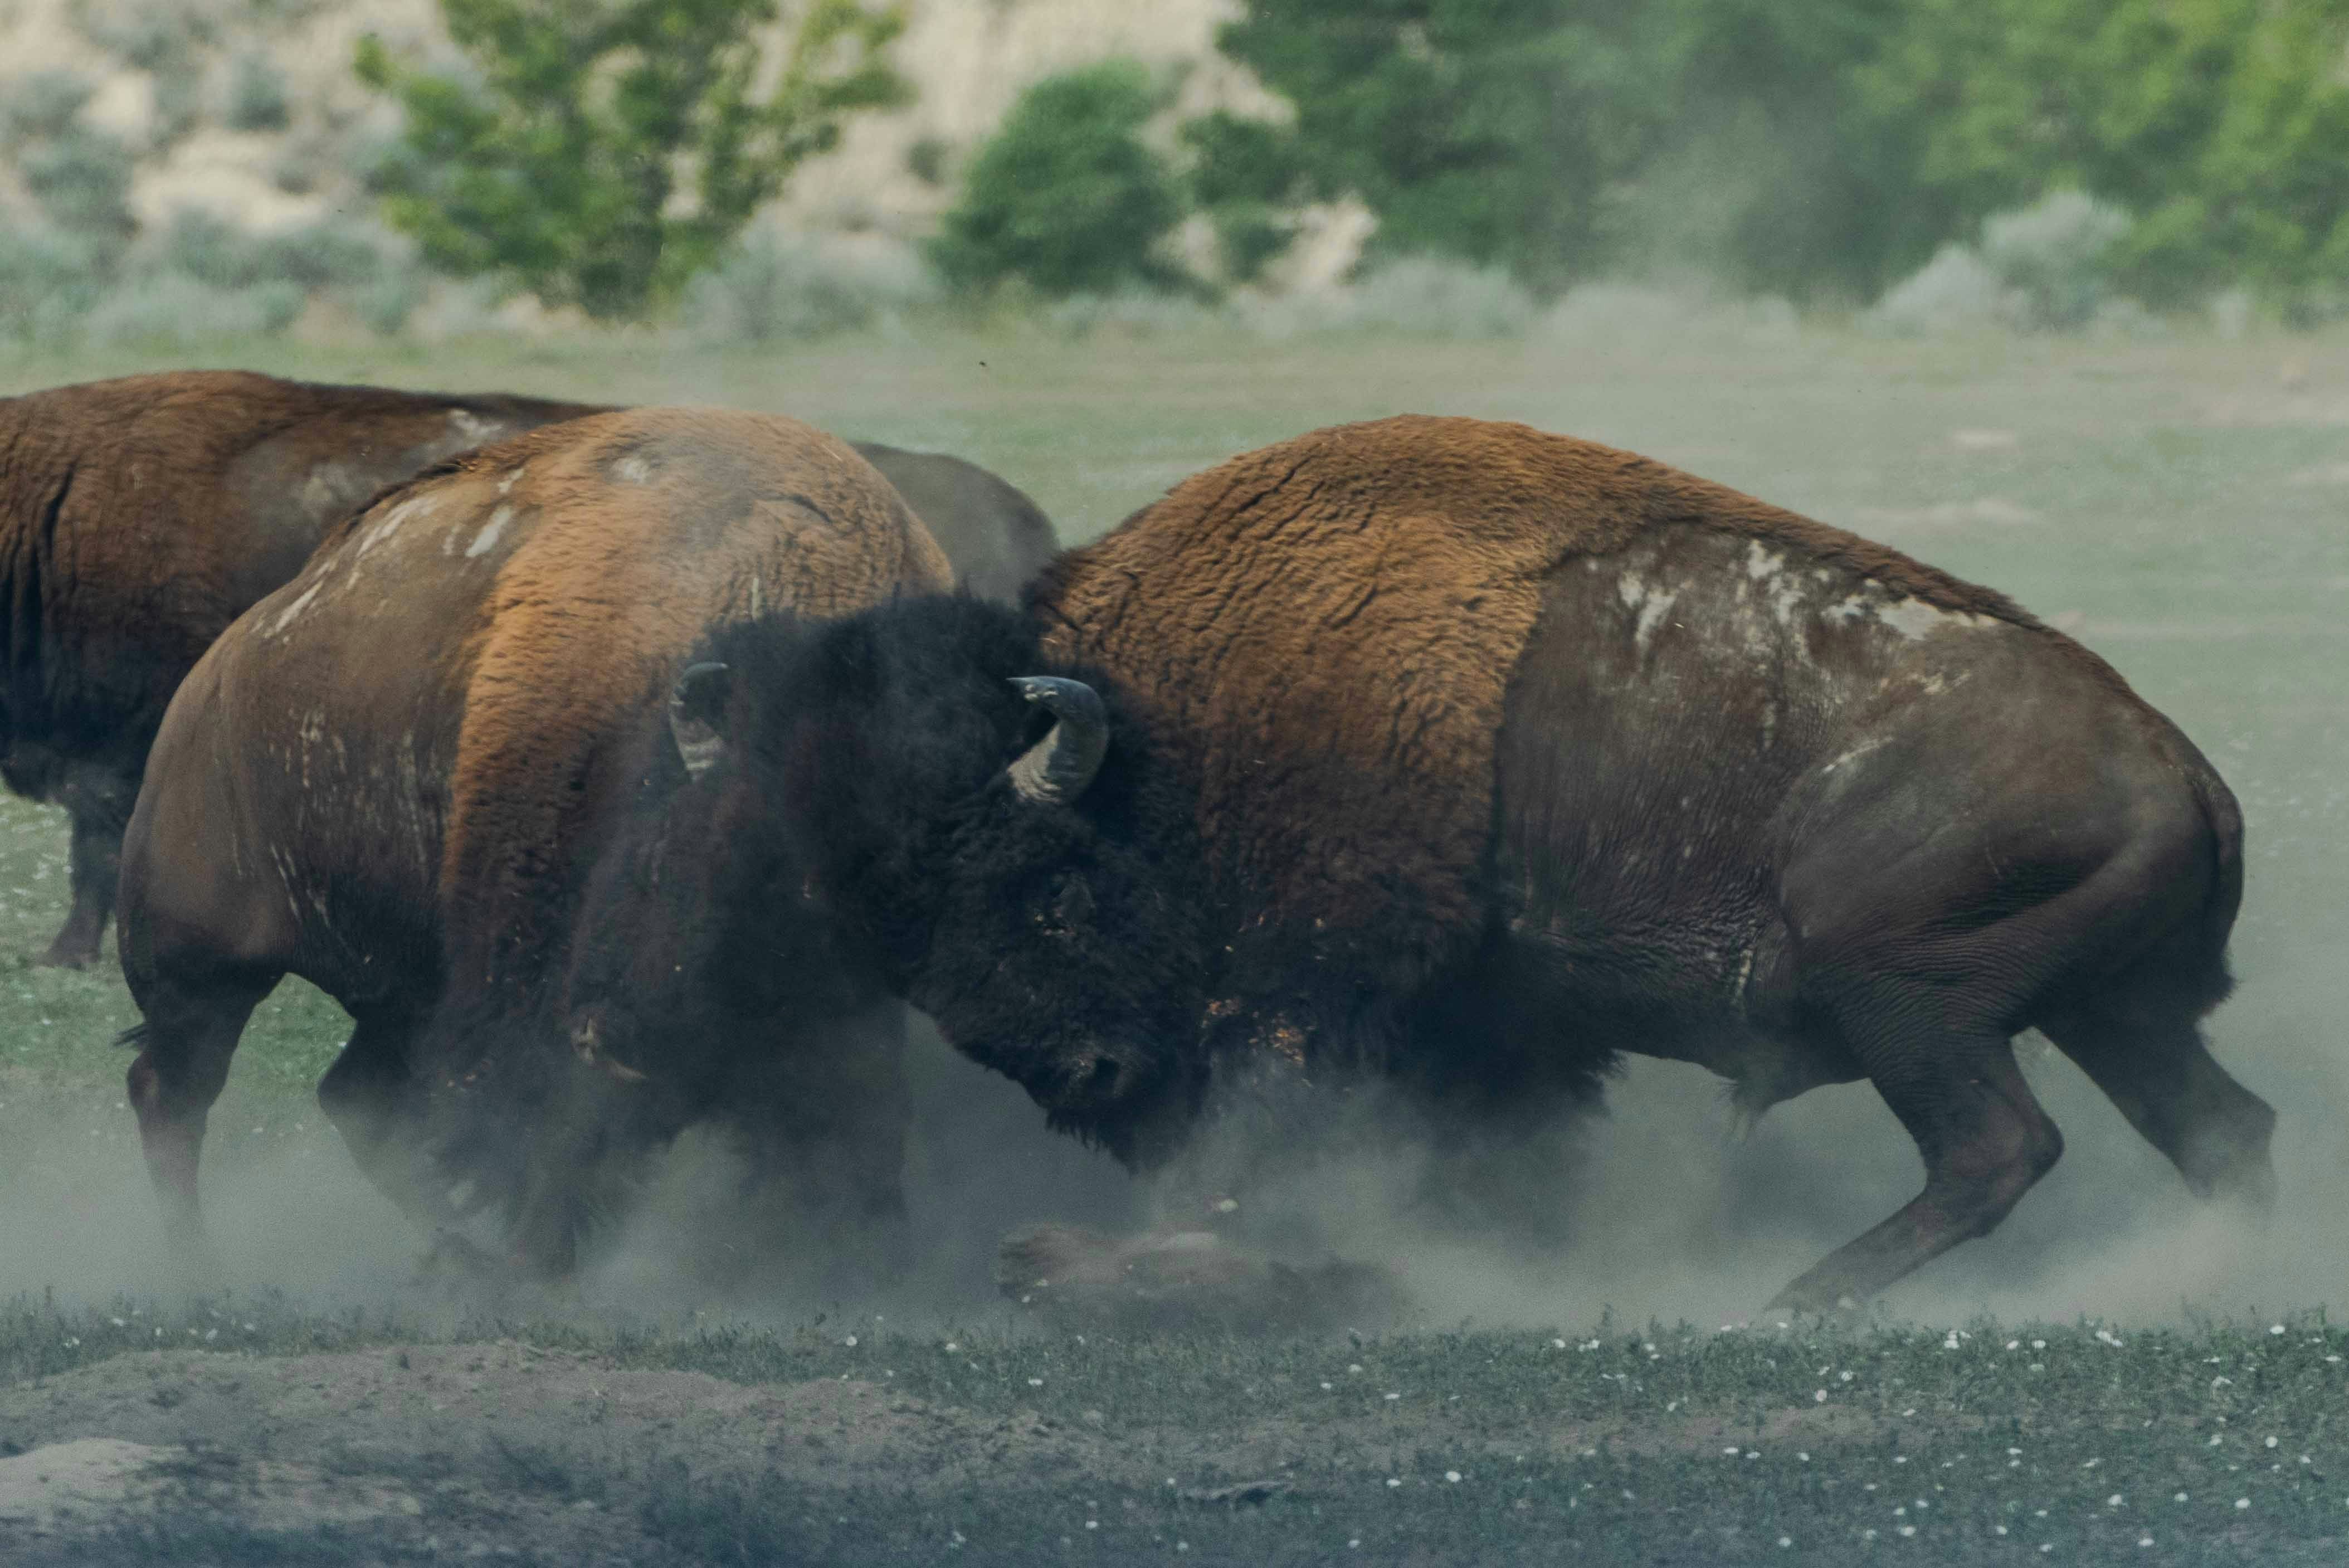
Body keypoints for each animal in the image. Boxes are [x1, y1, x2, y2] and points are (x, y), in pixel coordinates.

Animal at [117, 408, 952, 1277]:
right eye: (661, 860)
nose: (619, 1040)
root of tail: (212, 678)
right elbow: (545, 1126)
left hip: (397, 989)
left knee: (353, 1100)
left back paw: (457, 1253)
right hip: (198, 969)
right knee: (173, 1092)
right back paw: (201, 1266)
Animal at [573, 414, 2273, 1311]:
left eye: (1037, 883)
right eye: (891, 936)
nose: (1086, 1074)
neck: (1161, 730)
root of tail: (2180, 766)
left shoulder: (1312, 990)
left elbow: (1277, 1123)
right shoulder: (1495, 1026)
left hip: (1909, 998)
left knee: (1998, 1146)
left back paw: (1790, 1299)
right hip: (2107, 1012)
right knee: (2215, 1127)